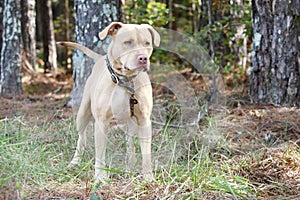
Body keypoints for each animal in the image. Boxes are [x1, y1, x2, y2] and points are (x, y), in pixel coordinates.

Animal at [59, 22, 161, 181]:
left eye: (147, 43)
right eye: (128, 42)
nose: (143, 58)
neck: (125, 79)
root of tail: (100, 58)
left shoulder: (144, 122)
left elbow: (146, 154)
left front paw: (148, 178)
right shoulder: (101, 123)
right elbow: (100, 154)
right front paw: (100, 178)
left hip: (131, 124)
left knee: (130, 143)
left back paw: (130, 166)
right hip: (82, 114)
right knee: (81, 138)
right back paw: (74, 163)